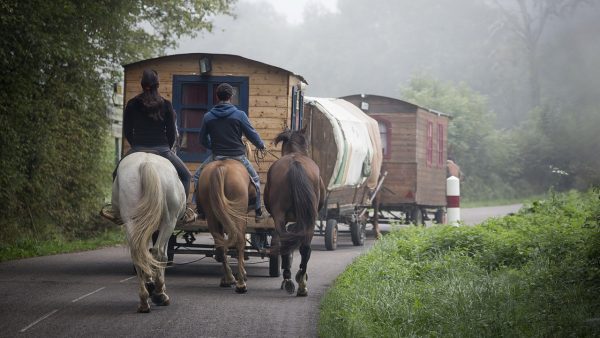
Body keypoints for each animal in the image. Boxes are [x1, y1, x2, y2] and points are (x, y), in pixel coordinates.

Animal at [110, 152, 185, 312]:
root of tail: (146, 163)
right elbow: (158, 254)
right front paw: (157, 289)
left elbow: (145, 252)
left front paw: (150, 282)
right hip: (169, 221)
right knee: (159, 253)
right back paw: (159, 294)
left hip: (131, 221)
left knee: (137, 253)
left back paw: (144, 300)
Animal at [196, 158, 254, 294]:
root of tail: (221, 167)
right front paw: (243, 273)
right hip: (238, 214)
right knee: (239, 242)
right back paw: (241, 284)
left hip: (211, 215)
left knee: (220, 245)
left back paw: (228, 279)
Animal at [264, 127, 326, 296]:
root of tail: (295, 163)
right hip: (308, 219)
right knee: (303, 247)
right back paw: (300, 281)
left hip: (282, 217)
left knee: (289, 243)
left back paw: (290, 280)